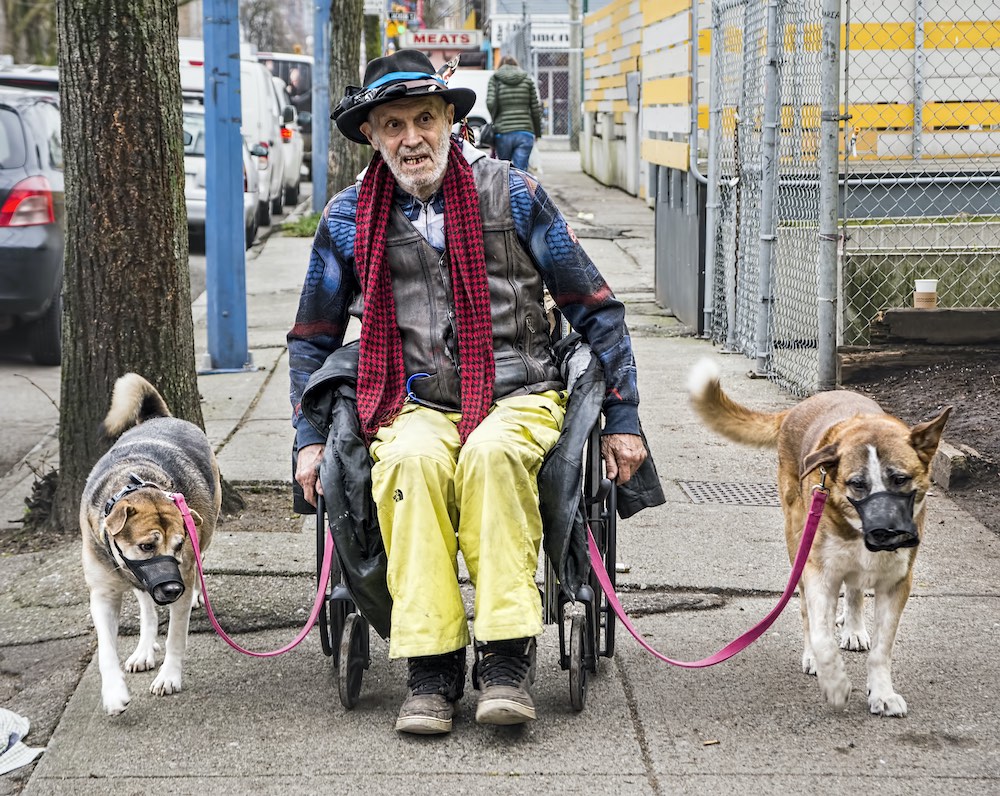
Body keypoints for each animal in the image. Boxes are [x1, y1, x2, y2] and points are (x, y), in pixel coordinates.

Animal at [80, 374, 221, 716]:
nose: (171, 589)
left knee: (197, 567)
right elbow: (106, 649)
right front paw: (113, 692)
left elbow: (175, 638)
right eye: (146, 546)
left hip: (206, 529)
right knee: (146, 607)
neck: (132, 485)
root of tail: (159, 418)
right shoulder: (103, 594)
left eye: (179, 546)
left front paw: (169, 677)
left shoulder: (183, 565)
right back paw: (144, 647)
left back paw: (194, 594)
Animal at [688, 358, 952, 720]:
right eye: (857, 484)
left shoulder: (897, 581)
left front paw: (882, 693)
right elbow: (820, 632)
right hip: (796, 536)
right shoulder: (818, 572)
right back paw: (815, 653)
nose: (886, 533)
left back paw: (853, 628)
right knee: (808, 610)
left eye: (900, 479)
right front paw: (835, 683)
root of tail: (798, 407)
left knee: (854, 592)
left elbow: (882, 647)